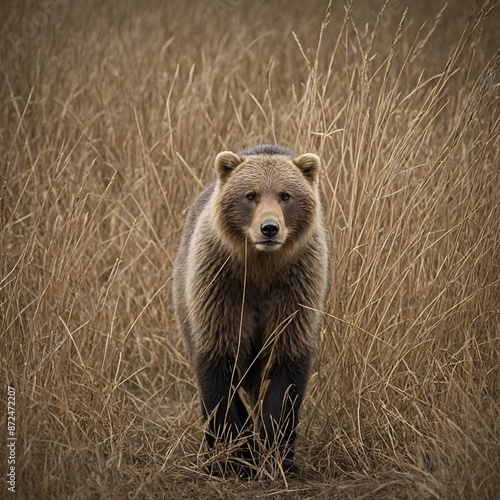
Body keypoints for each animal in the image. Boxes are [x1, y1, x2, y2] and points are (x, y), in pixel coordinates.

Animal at [174, 145, 330, 476]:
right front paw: (235, 457)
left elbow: (286, 371)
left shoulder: (296, 290)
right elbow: (219, 369)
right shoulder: (221, 289)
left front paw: (277, 455)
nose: (269, 228)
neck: (261, 267)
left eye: (285, 195)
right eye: (251, 195)